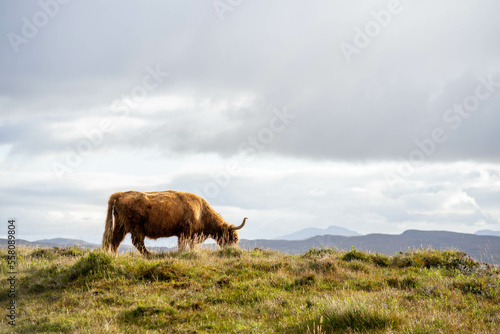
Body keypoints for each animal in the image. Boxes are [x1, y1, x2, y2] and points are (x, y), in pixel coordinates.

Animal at [101, 190, 246, 256]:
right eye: (233, 238)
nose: (232, 250)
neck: (201, 212)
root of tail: (119, 194)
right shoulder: (185, 232)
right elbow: (183, 245)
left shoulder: (189, 234)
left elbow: (190, 245)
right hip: (136, 228)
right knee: (137, 242)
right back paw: (151, 254)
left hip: (120, 226)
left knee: (115, 241)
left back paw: (114, 255)